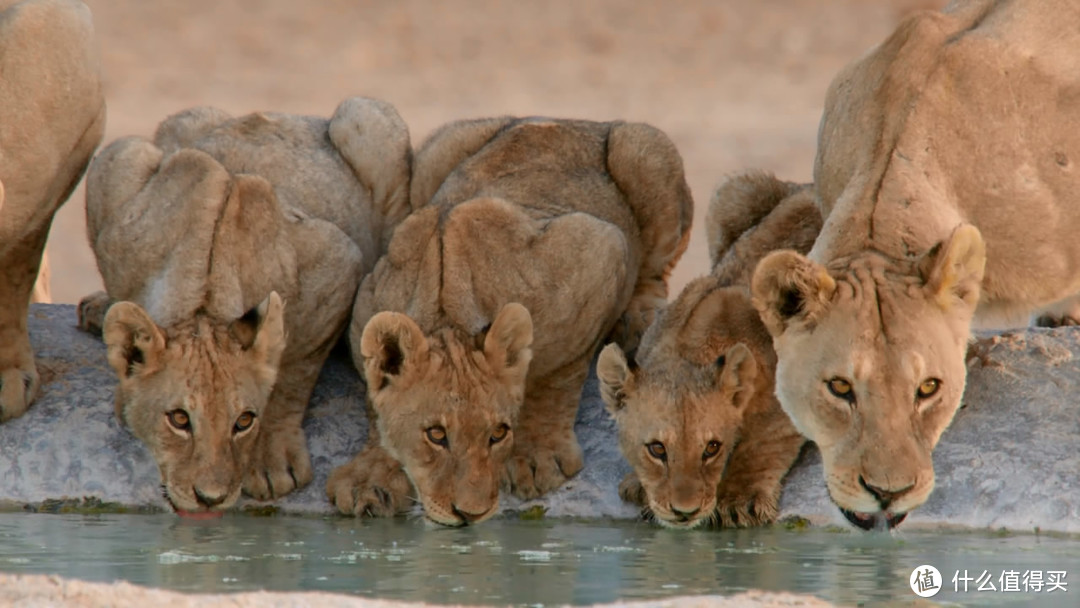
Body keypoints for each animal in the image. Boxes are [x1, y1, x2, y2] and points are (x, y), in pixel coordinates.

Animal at [77, 97, 412, 516]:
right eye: (179, 419)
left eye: (244, 421)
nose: (210, 497)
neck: (201, 300)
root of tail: (294, 115)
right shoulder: (115, 178)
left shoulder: (337, 263)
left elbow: (293, 371)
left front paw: (270, 462)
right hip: (165, 131)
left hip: (368, 120)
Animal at [324, 116, 691, 524]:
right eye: (436, 435)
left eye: (498, 433)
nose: (470, 514)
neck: (447, 315)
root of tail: (575, 120)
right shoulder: (367, 300)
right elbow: (376, 408)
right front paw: (371, 477)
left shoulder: (599, 250)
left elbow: (556, 375)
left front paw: (536, 458)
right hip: (432, 159)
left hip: (642, 149)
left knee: (655, 272)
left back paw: (637, 319)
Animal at [600, 171, 816, 529]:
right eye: (657, 449)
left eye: (711, 448)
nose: (684, 512)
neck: (687, 350)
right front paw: (637, 484)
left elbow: (764, 442)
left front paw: (739, 499)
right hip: (732, 194)